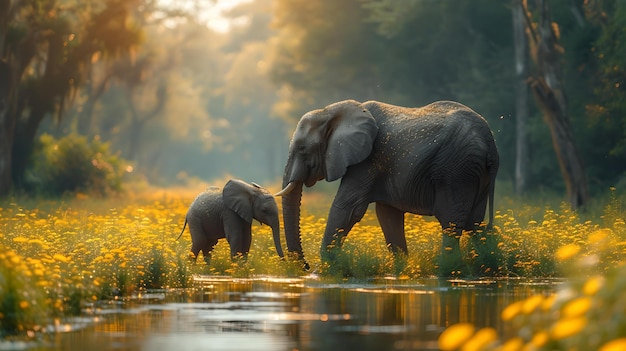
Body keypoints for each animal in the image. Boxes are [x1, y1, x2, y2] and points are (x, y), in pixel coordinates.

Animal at [276, 99, 500, 276]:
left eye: (303, 149)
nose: (305, 266)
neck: (330, 111)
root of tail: (490, 143)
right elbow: (387, 214)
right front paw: (402, 271)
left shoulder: (368, 159)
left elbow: (347, 207)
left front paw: (321, 273)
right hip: (473, 172)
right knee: (474, 224)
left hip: (456, 170)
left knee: (451, 223)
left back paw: (446, 271)